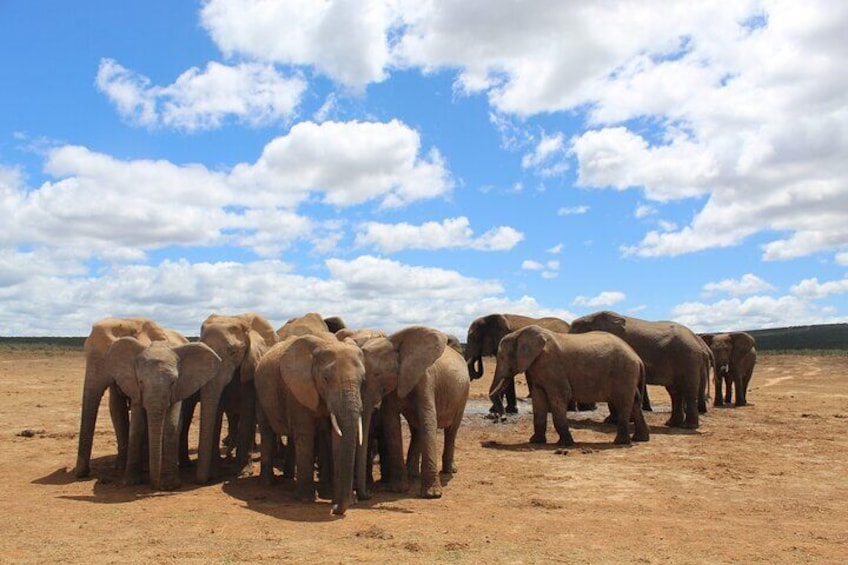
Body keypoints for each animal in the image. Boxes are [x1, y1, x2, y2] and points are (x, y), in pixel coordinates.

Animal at [105, 340, 222, 490]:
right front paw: (130, 482)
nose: (155, 486)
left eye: (173, 383)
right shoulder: (135, 390)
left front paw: (170, 486)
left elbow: (172, 425)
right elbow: (137, 428)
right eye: (141, 382)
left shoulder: (179, 389)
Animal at [186, 310, 276, 482]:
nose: (202, 479)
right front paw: (215, 471)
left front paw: (242, 471)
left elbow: (247, 410)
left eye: (233, 353)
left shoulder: (251, 365)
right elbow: (217, 411)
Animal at [490, 326, 648, 446]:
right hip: (628, 375)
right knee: (635, 402)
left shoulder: (552, 365)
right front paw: (535, 442)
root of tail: (637, 358)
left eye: (502, 357)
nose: (502, 419)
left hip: (624, 374)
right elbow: (538, 399)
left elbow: (560, 396)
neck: (520, 333)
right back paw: (640, 439)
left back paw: (620, 442)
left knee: (623, 403)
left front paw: (565, 444)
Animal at [568, 308, 708, 428]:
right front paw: (613, 421)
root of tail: (699, 342)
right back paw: (671, 424)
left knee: (688, 390)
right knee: (675, 392)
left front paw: (612, 421)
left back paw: (688, 426)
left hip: (687, 358)